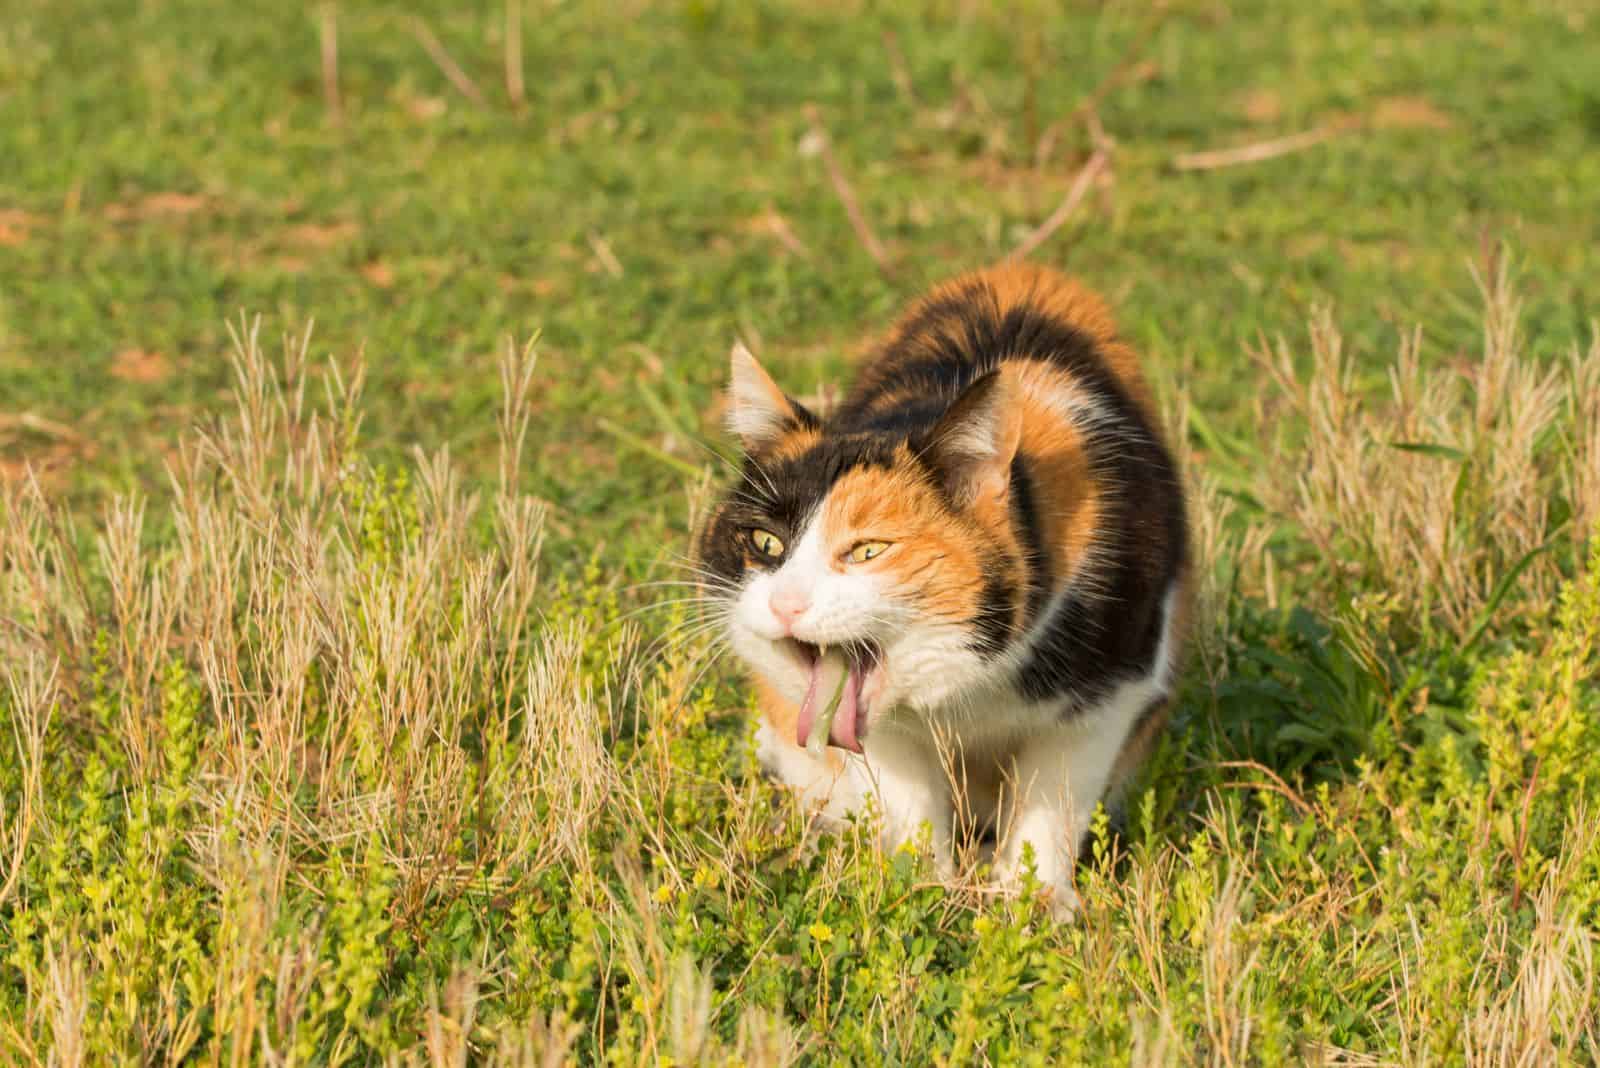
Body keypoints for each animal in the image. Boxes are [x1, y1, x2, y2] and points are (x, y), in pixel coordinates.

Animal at [697, 262, 1190, 914]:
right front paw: (918, 890)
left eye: (869, 550)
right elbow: (911, 804)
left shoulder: (1108, 695)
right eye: (765, 543)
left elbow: (1052, 803)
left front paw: (1032, 906)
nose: (785, 603)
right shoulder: (882, 734)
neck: (972, 686)